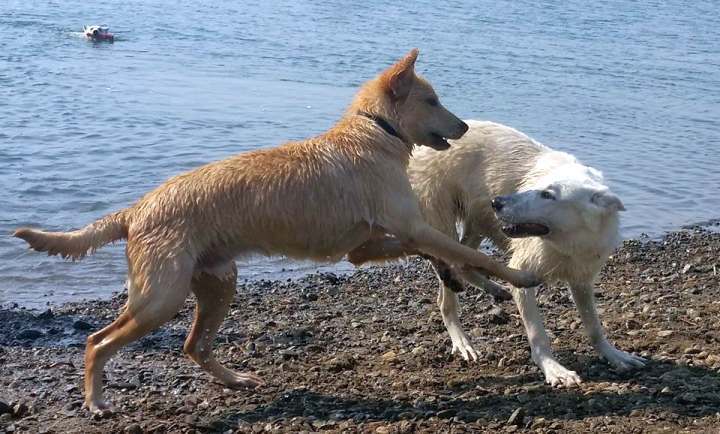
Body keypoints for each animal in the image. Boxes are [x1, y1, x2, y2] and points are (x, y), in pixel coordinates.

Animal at [14, 50, 536, 414]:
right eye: (431, 100)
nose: (464, 125)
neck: (375, 133)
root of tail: (137, 208)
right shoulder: (406, 229)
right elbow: (471, 254)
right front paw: (515, 279)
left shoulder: (374, 244)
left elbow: (452, 258)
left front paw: (480, 284)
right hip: (161, 297)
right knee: (96, 342)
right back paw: (96, 401)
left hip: (217, 282)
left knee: (193, 345)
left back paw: (235, 380)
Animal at [410, 119, 648, 386]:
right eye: (534, 188)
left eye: (547, 195)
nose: (497, 202)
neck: (567, 242)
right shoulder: (523, 275)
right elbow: (538, 334)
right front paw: (554, 369)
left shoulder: (582, 280)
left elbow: (594, 326)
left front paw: (613, 355)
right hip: (445, 224)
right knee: (447, 297)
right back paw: (462, 342)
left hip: (477, 221)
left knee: (465, 261)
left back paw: (493, 288)